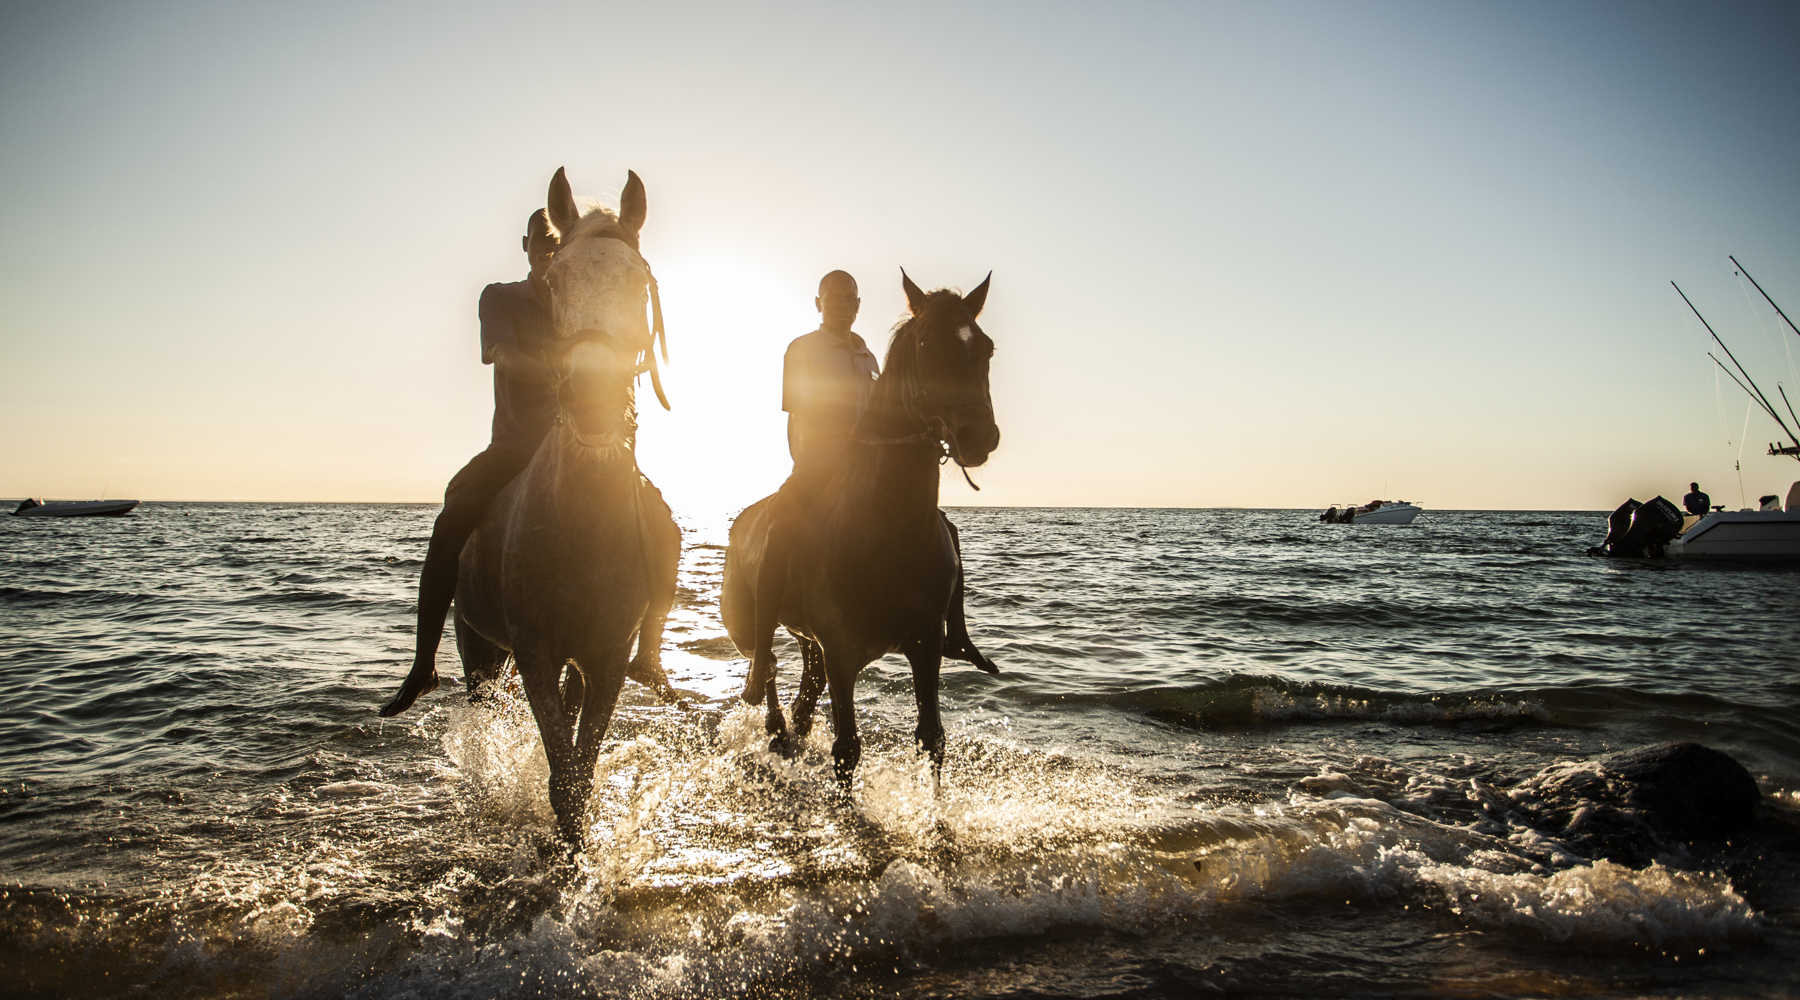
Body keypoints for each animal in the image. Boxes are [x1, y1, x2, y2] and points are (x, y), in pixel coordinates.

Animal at [450, 167, 682, 845]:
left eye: (639, 281)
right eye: (555, 282)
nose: (593, 399)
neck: (584, 520)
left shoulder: (605, 657)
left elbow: (579, 771)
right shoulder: (533, 652)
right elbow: (562, 778)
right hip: (480, 652)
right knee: (483, 710)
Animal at [721, 272, 1000, 786]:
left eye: (986, 347)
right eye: (927, 344)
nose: (978, 436)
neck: (886, 529)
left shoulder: (925, 646)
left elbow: (932, 739)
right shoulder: (842, 653)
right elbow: (847, 749)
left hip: (807, 640)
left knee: (804, 688)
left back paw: (790, 735)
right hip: (749, 629)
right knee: (765, 668)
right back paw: (775, 730)